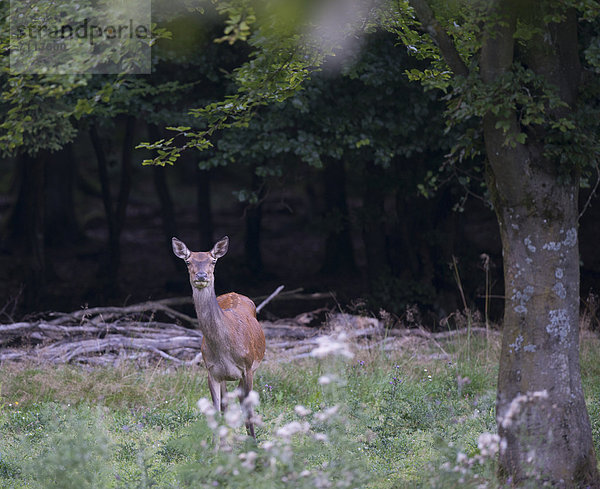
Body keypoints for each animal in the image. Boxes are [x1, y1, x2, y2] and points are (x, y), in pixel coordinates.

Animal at [173, 235, 268, 438]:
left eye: (213, 260)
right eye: (188, 261)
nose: (201, 276)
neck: (225, 349)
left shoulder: (248, 368)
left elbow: (248, 411)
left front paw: (254, 442)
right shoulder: (212, 371)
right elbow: (217, 411)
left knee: (241, 400)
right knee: (227, 404)